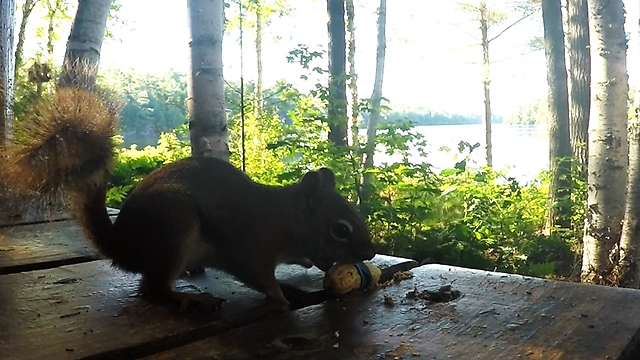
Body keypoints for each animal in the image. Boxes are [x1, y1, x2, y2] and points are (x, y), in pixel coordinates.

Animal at [5, 88, 376, 312]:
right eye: (340, 229)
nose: (370, 253)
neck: (283, 218)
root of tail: (121, 247)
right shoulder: (248, 248)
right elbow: (257, 275)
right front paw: (280, 297)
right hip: (174, 227)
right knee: (153, 289)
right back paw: (189, 301)